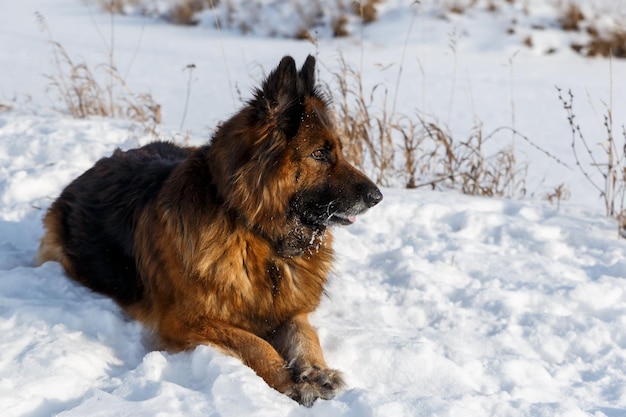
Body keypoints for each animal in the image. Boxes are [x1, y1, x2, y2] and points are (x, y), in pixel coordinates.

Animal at [39, 55, 382, 406]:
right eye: (319, 154)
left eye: (339, 150)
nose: (377, 197)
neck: (255, 232)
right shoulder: (184, 321)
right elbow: (254, 343)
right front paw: (287, 379)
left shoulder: (290, 311)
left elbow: (307, 335)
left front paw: (315, 371)